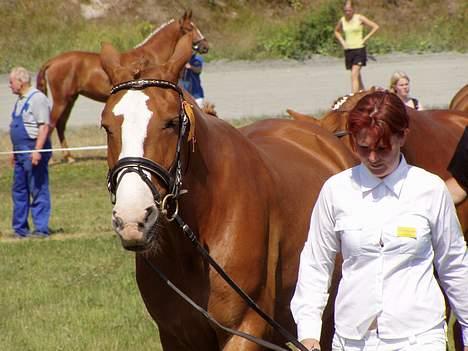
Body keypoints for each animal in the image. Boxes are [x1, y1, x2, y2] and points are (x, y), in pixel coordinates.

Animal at [37, 10, 209, 162]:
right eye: (190, 28)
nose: (205, 46)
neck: (150, 56)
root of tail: (53, 61)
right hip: (62, 100)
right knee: (51, 124)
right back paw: (51, 158)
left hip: (70, 99)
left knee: (60, 124)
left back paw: (69, 156)